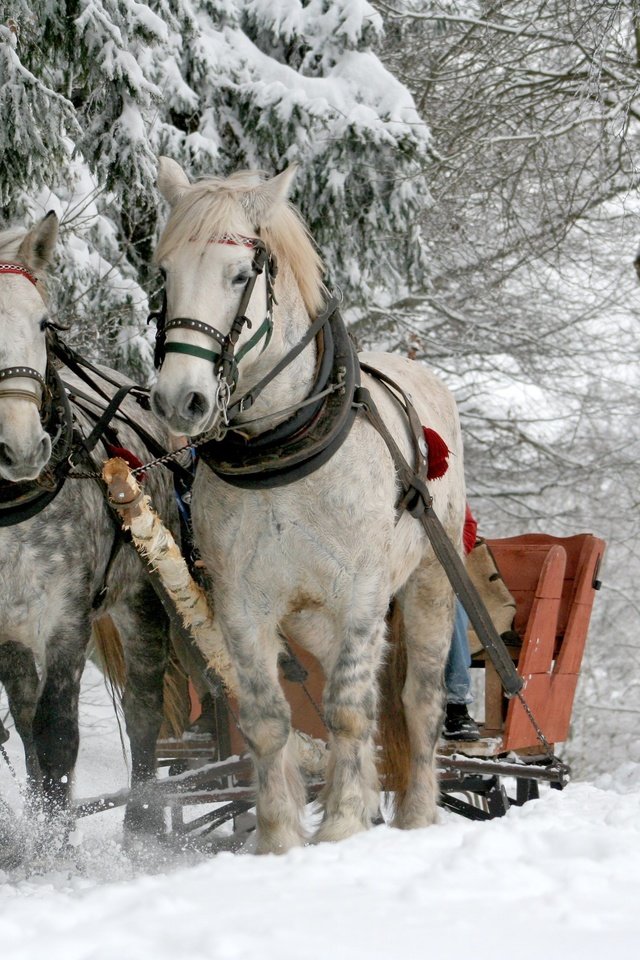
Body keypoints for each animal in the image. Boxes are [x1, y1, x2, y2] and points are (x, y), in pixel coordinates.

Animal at [0, 212, 175, 832]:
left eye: (43, 323)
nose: (21, 448)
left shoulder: (66, 616)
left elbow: (57, 737)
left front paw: (59, 845)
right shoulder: (7, 629)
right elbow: (30, 739)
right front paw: (41, 834)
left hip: (142, 598)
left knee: (146, 706)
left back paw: (142, 825)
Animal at [151, 159, 464, 856]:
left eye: (240, 275)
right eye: (164, 275)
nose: (180, 400)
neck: (282, 449)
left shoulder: (362, 595)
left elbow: (349, 709)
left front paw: (343, 824)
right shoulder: (242, 605)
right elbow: (269, 719)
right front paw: (279, 838)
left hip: (429, 583)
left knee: (417, 700)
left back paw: (416, 814)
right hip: (313, 617)